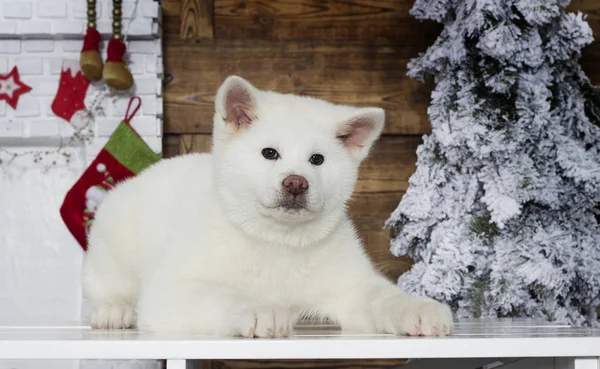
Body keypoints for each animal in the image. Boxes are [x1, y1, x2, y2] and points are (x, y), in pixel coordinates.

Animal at [82, 75, 452, 336]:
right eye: (269, 153)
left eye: (317, 159)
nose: (296, 183)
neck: (278, 240)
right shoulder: (171, 288)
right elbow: (223, 296)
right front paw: (257, 311)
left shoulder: (351, 287)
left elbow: (384, 297)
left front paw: (418, 309)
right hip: (110, 241)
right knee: (108, 285)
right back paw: (113, 309)